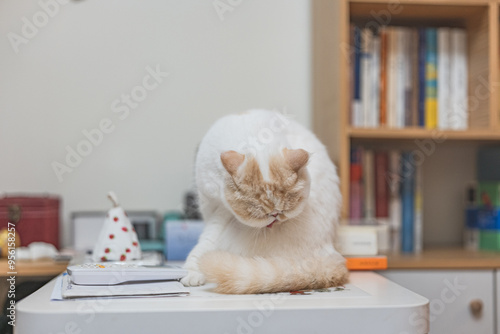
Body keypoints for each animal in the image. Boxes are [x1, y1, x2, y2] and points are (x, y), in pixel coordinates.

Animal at [181, 109, 348, 292]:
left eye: (284, 211)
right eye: (260, 214)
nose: (275, 216)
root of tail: (329, 251)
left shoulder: (218, 215)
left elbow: (206, 241)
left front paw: (193, 271)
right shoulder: (212, 205)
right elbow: (206, 240)